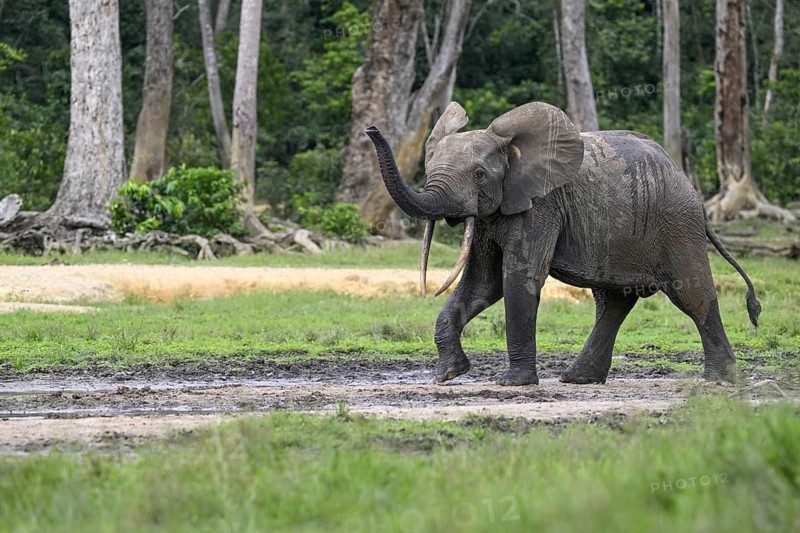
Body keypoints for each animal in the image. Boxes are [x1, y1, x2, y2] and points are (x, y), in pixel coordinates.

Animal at [365, 101, 761, 386]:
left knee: (691, 293)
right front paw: (448, 374)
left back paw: (720, 381)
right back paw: (578, 378)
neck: (510, 149)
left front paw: (512, 383)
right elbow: (482, 283)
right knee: (613, 300)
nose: (370, 128)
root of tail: (684, 178)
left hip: (677, 224)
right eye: (430, 169)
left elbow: (518, 278)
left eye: (478, 174)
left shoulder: (541, 204)